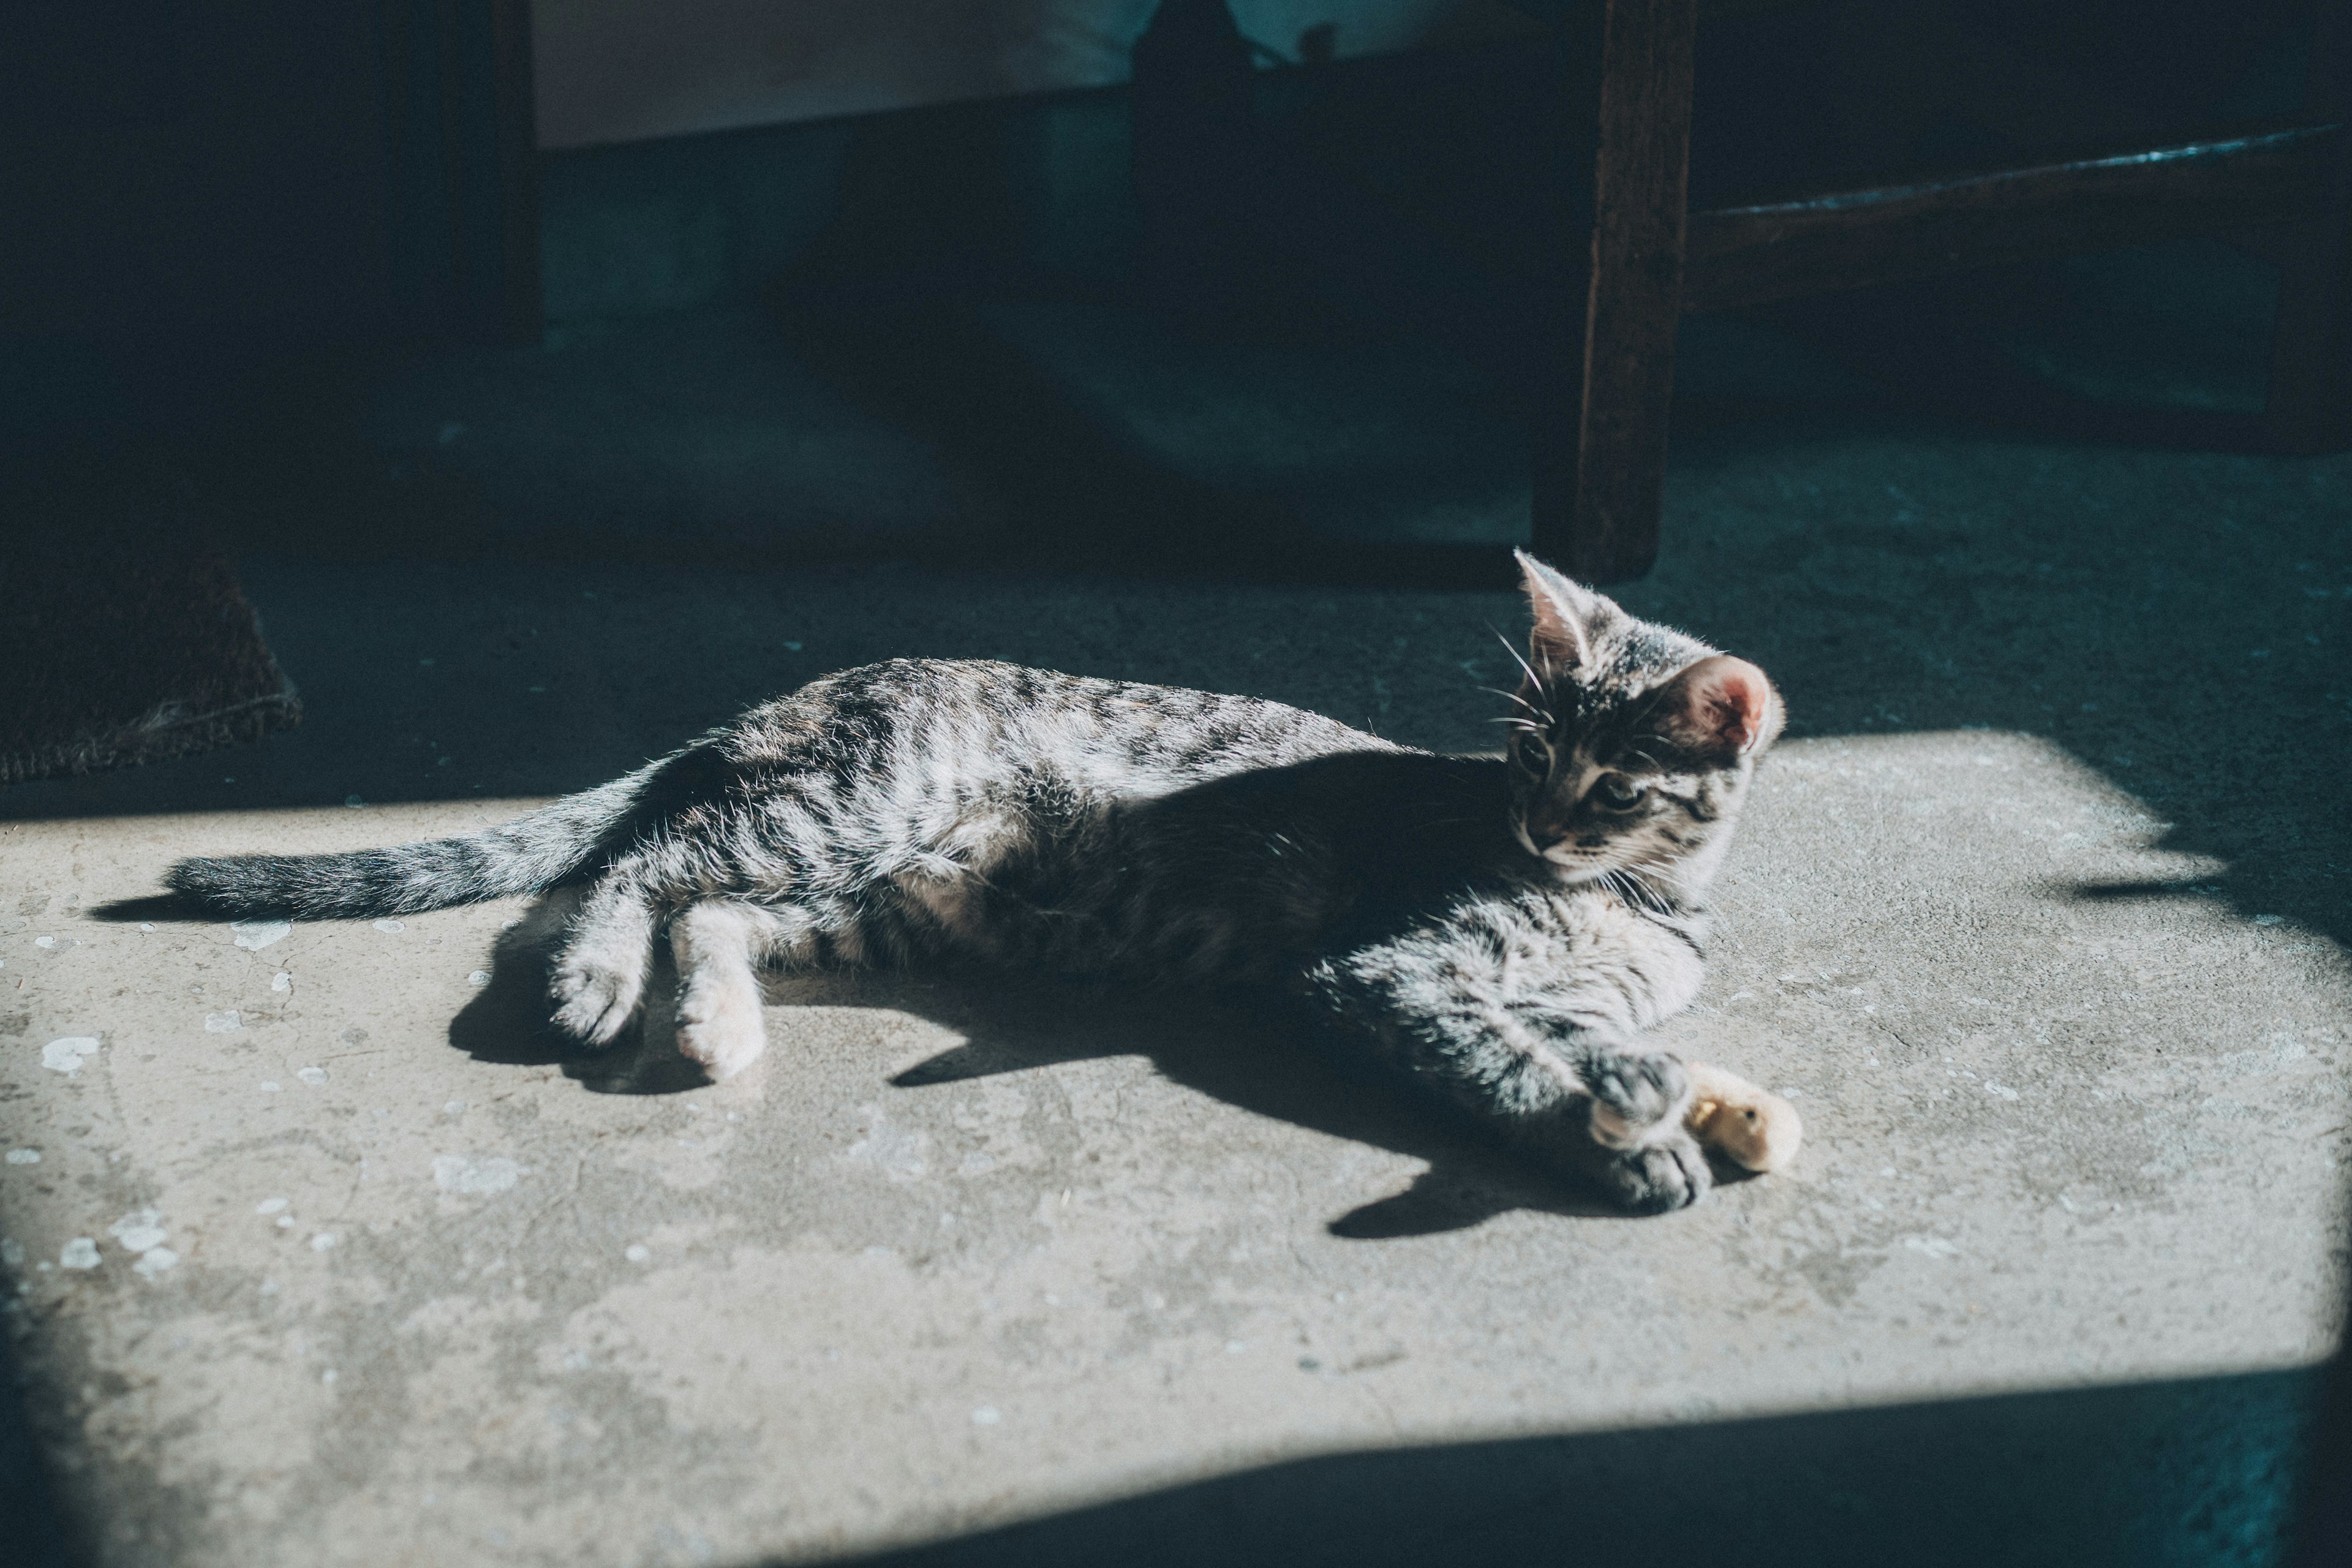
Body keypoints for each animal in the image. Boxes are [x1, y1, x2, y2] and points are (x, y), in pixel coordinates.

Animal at [170, 554, 1778, 1213]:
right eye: (1529, 756)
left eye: (1613, 782)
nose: (1540, 832)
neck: (1646, 902)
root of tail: (804, 688)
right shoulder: (1394, 969)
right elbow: (1499, 1056)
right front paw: (1623, 1145)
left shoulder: (1554, 983)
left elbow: (1587, 1037)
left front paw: (1690, 1098)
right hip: (851, 807)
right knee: (642, 862)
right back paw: (598, 980)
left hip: (909, 895)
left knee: (716, 906)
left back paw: (713, 1024)